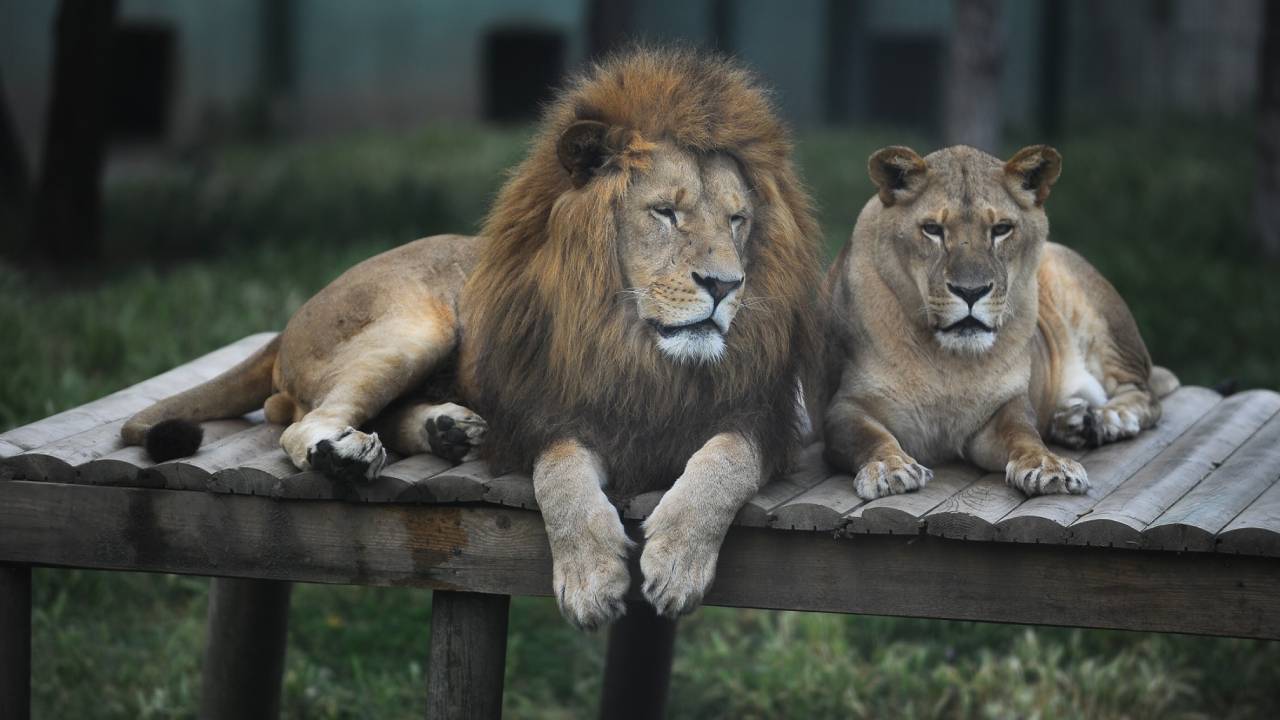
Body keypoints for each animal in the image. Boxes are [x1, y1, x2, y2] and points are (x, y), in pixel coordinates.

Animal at [120, 47, 819, 625]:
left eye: (738, 220)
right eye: (666, 213)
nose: (726, 286)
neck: (636, 350)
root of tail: (293, 317)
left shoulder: (765, 419)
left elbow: (723, 462)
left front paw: (675, 561)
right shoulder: (552, 417)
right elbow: (560, 478)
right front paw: (590, 577)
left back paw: (446, 431)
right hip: (417, 325)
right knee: (299, 422)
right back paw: (346, 453)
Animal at [824, 142, 1172, 497]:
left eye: (1001, 229)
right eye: (932, 229)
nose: (971, 291)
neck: (948, 361)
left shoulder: (1005, 406)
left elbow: (1024, 435)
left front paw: (1050, 466)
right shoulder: (845, 406)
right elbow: (870, 436)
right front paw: (889, 468)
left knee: (1146, 395)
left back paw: (1104, 420)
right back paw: (1072, 422)